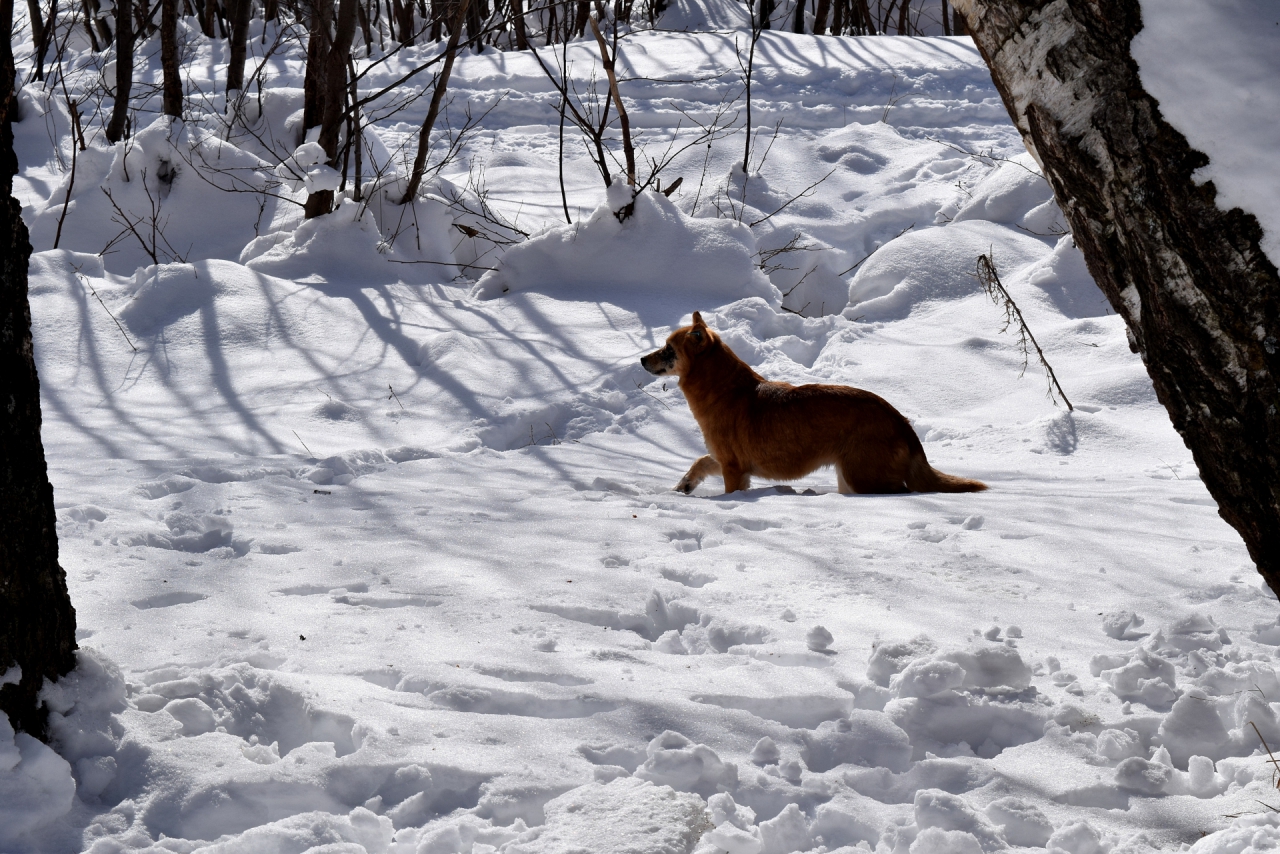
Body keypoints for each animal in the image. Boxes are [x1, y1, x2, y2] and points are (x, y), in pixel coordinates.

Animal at [640, 312, 988, 494]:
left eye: (668, 349)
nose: (642, 359)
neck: (724, 390)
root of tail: (901, 422)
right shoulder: (727, 461)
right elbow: (700, 461)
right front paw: (685, 484)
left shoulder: (734, 470)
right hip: (849, 478)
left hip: (862, 478)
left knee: (905, 490)